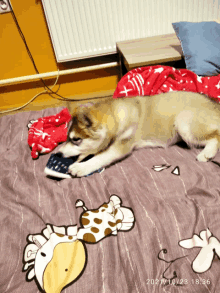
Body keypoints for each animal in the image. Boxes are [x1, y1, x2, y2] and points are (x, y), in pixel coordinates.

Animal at [59, 92, 220, 177]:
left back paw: (207, 153)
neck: (115, 115)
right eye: (67, 137)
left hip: (183, 122)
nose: (58, 154)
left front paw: (81, 167)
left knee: (216, 135)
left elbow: (101, 157)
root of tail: (216, 105)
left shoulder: (122, 145)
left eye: (76, 139)